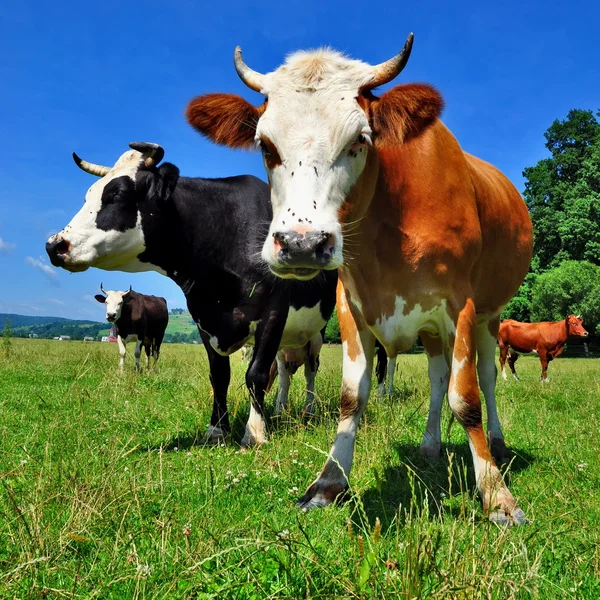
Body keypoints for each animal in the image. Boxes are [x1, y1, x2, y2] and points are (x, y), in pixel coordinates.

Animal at [45, 144, 338, 446]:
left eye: (117, 194)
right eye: (88, 195)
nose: (55, 245)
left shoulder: (273, 313)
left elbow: (255, 374)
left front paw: (255, 433)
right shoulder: (204, 320)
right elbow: (219, 376)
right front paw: (217, 429)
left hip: (316, 332)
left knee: (310, 369)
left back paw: (308, 410)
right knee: (283, 372)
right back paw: (280, 409)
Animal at [188, 36, 536, 524]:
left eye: (360, 139)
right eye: (265, 145)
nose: (301, 243)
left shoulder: (460, 306)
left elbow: (466, 398)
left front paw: (496, 495)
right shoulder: (352, 304)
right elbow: (353, 396)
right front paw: (328, 483)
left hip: (490, 315)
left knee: (485, 379)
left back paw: (498, 444)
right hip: (432, 331)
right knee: (436, 376)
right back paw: (430, 445)